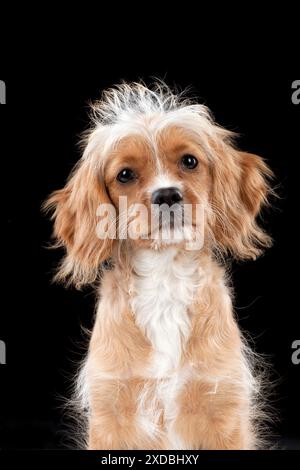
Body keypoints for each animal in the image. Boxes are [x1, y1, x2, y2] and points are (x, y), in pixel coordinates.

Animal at [45, 82, 274, 450]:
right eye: (125, 175)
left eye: (189, 161)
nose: (166, 194)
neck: (166, 277)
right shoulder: (112, 415)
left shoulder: (223, 408)